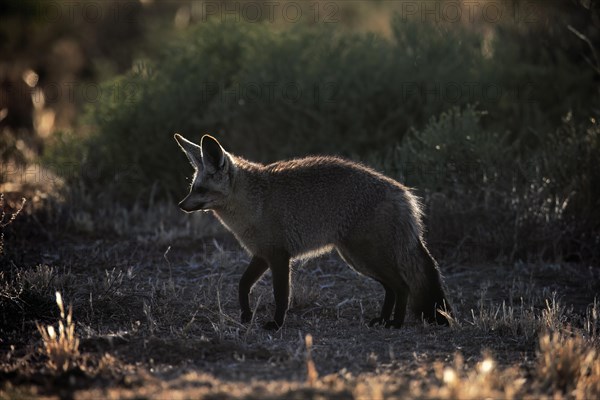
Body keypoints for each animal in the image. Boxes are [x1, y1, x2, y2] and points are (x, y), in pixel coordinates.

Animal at [173, 134, 450, 332]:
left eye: (201, 189)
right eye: (193, 187)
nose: (181, 205)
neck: (255, 202)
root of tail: (404, 194)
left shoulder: (279, 256)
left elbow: (281, 295)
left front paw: (276, 324)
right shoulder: (262, 254)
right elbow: (242, 285)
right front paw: (245, 315)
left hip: (367, 257)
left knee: (402, 286)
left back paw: (396, 323)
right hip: (358, 260)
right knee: (392, 288)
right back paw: (382, 320)